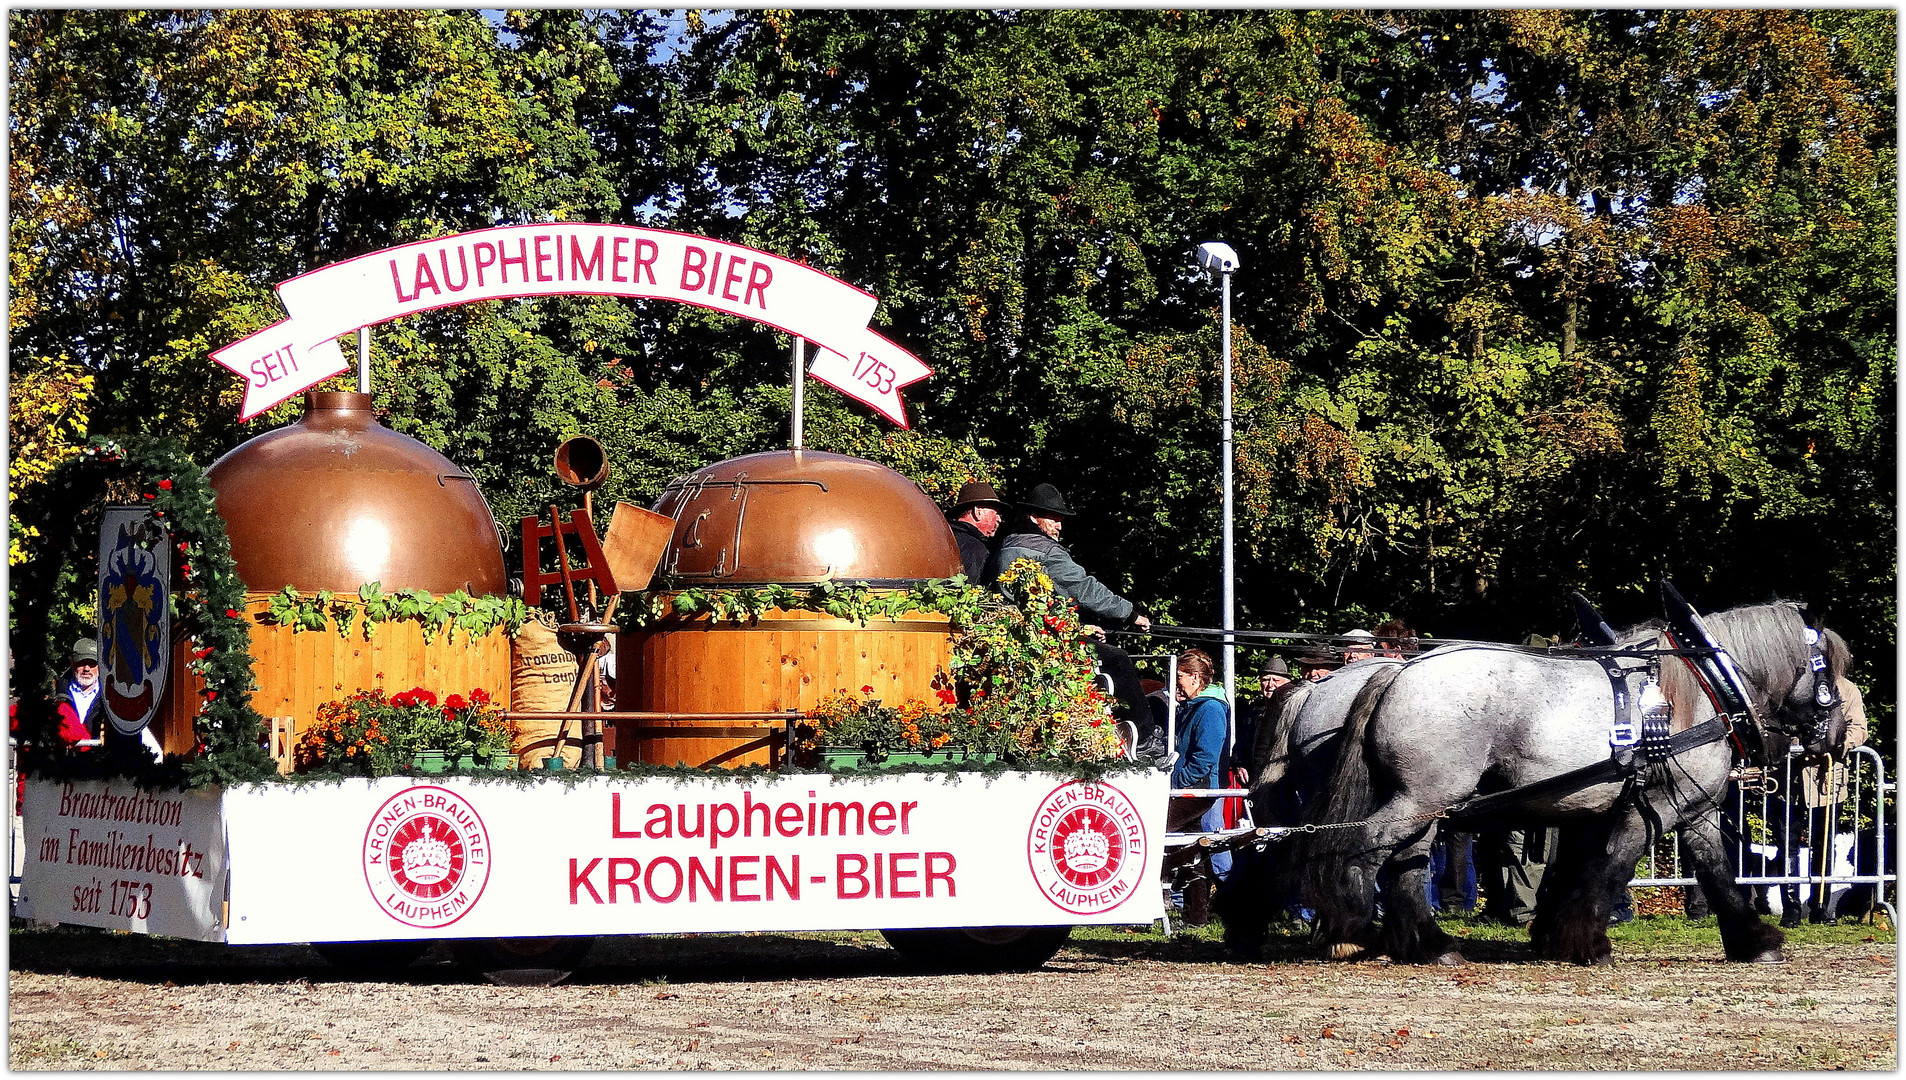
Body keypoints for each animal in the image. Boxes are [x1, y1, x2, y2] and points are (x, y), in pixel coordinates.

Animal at [1257, 605, 1852, 967]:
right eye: (1830, 671)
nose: (1840, 736)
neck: (1705, 684)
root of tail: (1395, 673)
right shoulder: (1656, 806)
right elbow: (1612, 865)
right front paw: (1585, 940)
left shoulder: (1687, 806)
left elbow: (1716, 870)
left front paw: (1754, 941)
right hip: (1424, 797)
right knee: (1361, 848)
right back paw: (1352, 927)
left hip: (1427, 802)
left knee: (1403, 865)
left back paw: (1429, 944)